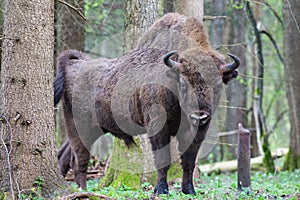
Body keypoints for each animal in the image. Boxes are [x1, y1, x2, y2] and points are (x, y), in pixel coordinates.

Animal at [54, 12, 239, 195]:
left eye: (218, 83)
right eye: (183, 83)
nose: (199, 115)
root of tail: (74, 64)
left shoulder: (196, 133)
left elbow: (188, 161)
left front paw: (189, 190)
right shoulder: (158, 127)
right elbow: (163, 160)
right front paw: (161, 190)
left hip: (92, 129)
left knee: (66, 155)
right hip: (80, 128)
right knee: (80, 159)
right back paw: (83, 191)